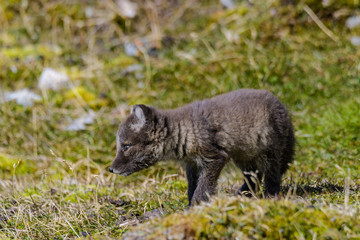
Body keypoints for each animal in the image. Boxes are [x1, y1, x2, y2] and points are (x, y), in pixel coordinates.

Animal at [108, 89, 294, 205]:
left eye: (126, 146)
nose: (111, 169)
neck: (185, 130)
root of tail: (282, 106)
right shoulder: (192, 164)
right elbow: (192, 187)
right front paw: (190, 205)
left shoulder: (215, 157)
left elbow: (204, 186)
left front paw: (196, 205)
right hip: (244, 157)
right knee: (254, 177)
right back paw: (242, 195)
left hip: (269, 152)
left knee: (272, 175)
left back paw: (270, 196)